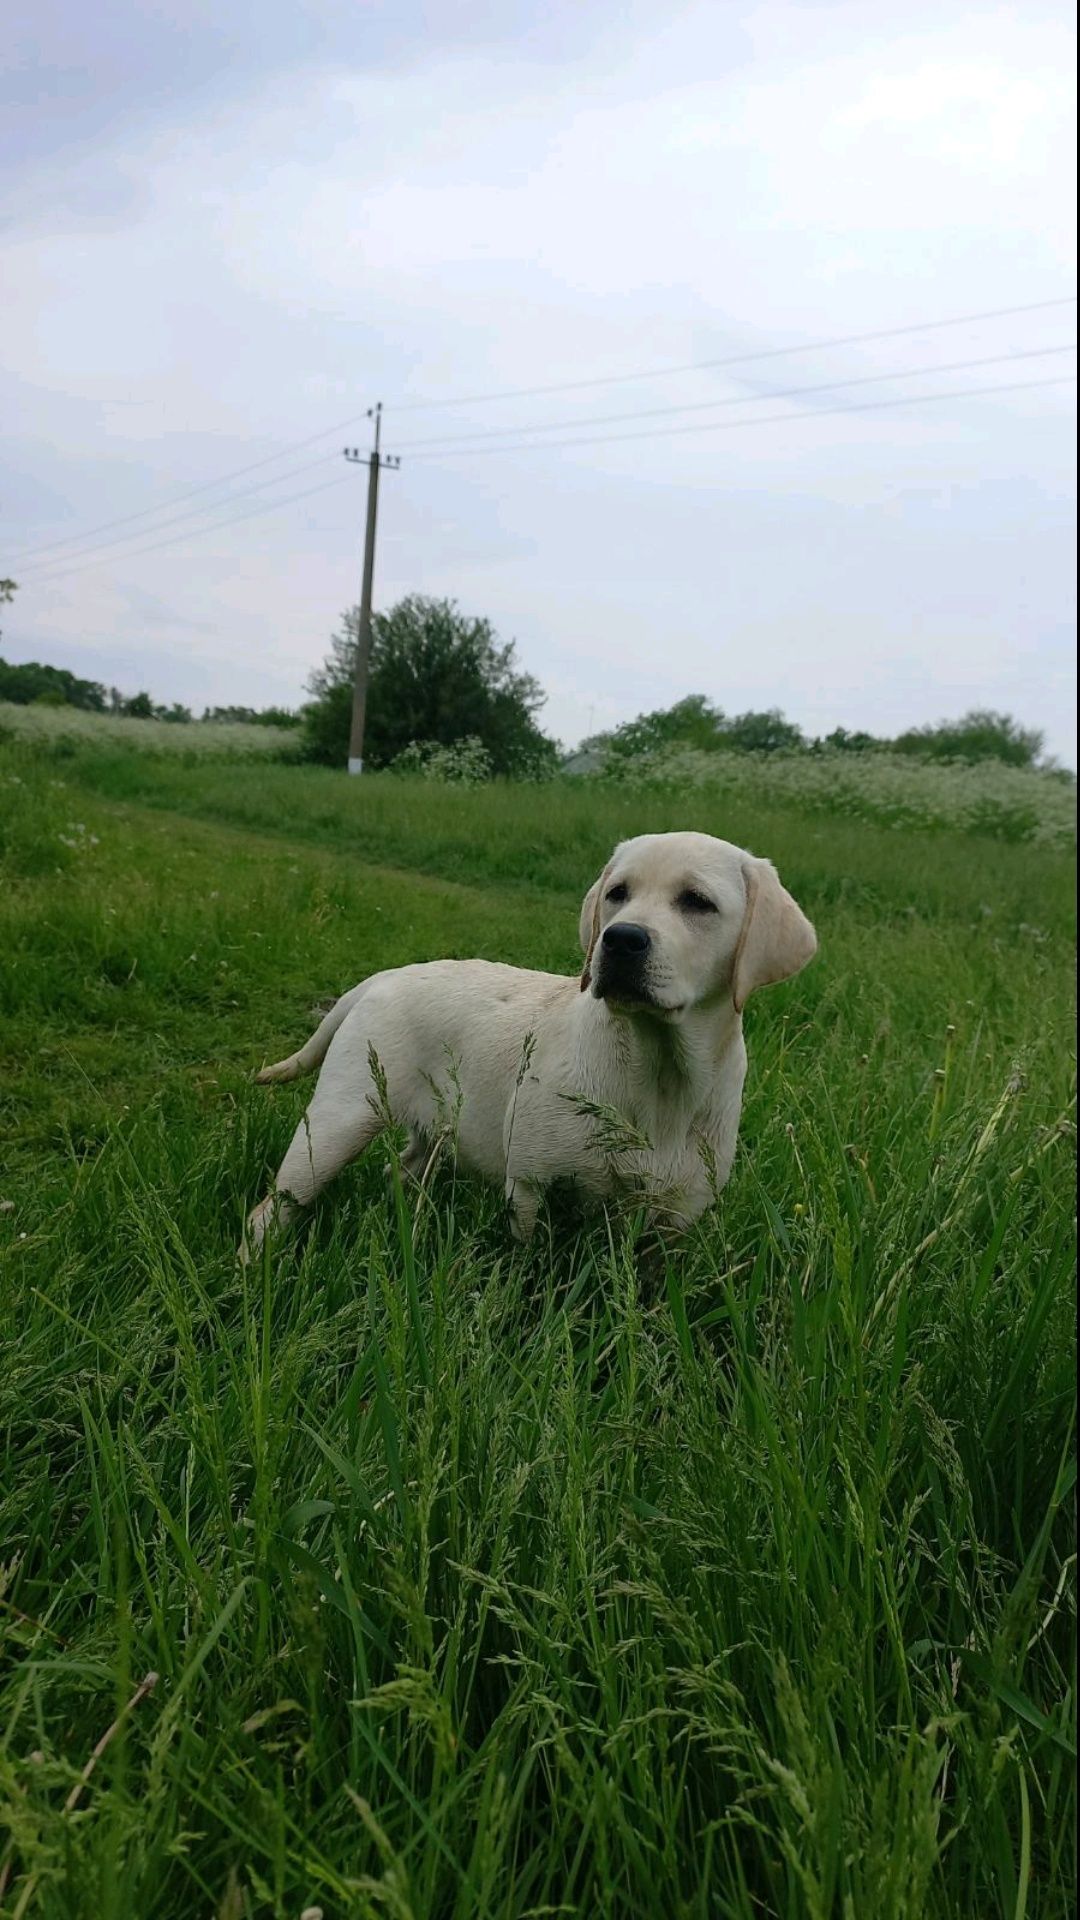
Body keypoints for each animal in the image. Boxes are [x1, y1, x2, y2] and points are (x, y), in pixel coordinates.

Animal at [244, 829, 810, 1251]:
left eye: (698, 902)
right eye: (618, 893)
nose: (620, 939)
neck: (659, 1069)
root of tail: (385, 976)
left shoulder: (678, 1217)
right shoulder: (531, 1185)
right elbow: (528, 1260)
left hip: (435, 1129)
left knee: (401, 1169)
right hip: (338, 1123)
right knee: (271, 1208)